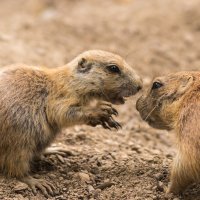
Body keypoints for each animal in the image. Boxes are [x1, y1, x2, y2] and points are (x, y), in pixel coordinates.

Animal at [0, 50, 142, 197]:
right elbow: (63, 112)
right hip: (19, 142)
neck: (70, 81)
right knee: (15, 169)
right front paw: (101, 109)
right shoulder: (60, 97)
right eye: (113, 68)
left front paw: (109, 120)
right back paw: (38, 182)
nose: (140, 86)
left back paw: (57, 150)